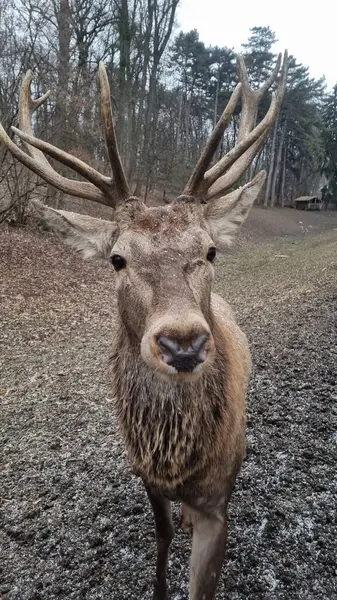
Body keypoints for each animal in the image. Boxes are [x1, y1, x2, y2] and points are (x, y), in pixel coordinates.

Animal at [0, 52, 286, 600]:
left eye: (210, 251)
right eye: (117, 259)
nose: (183, 342)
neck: (177, 458)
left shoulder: (221, 497)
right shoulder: (147, 478)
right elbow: (162, 536)